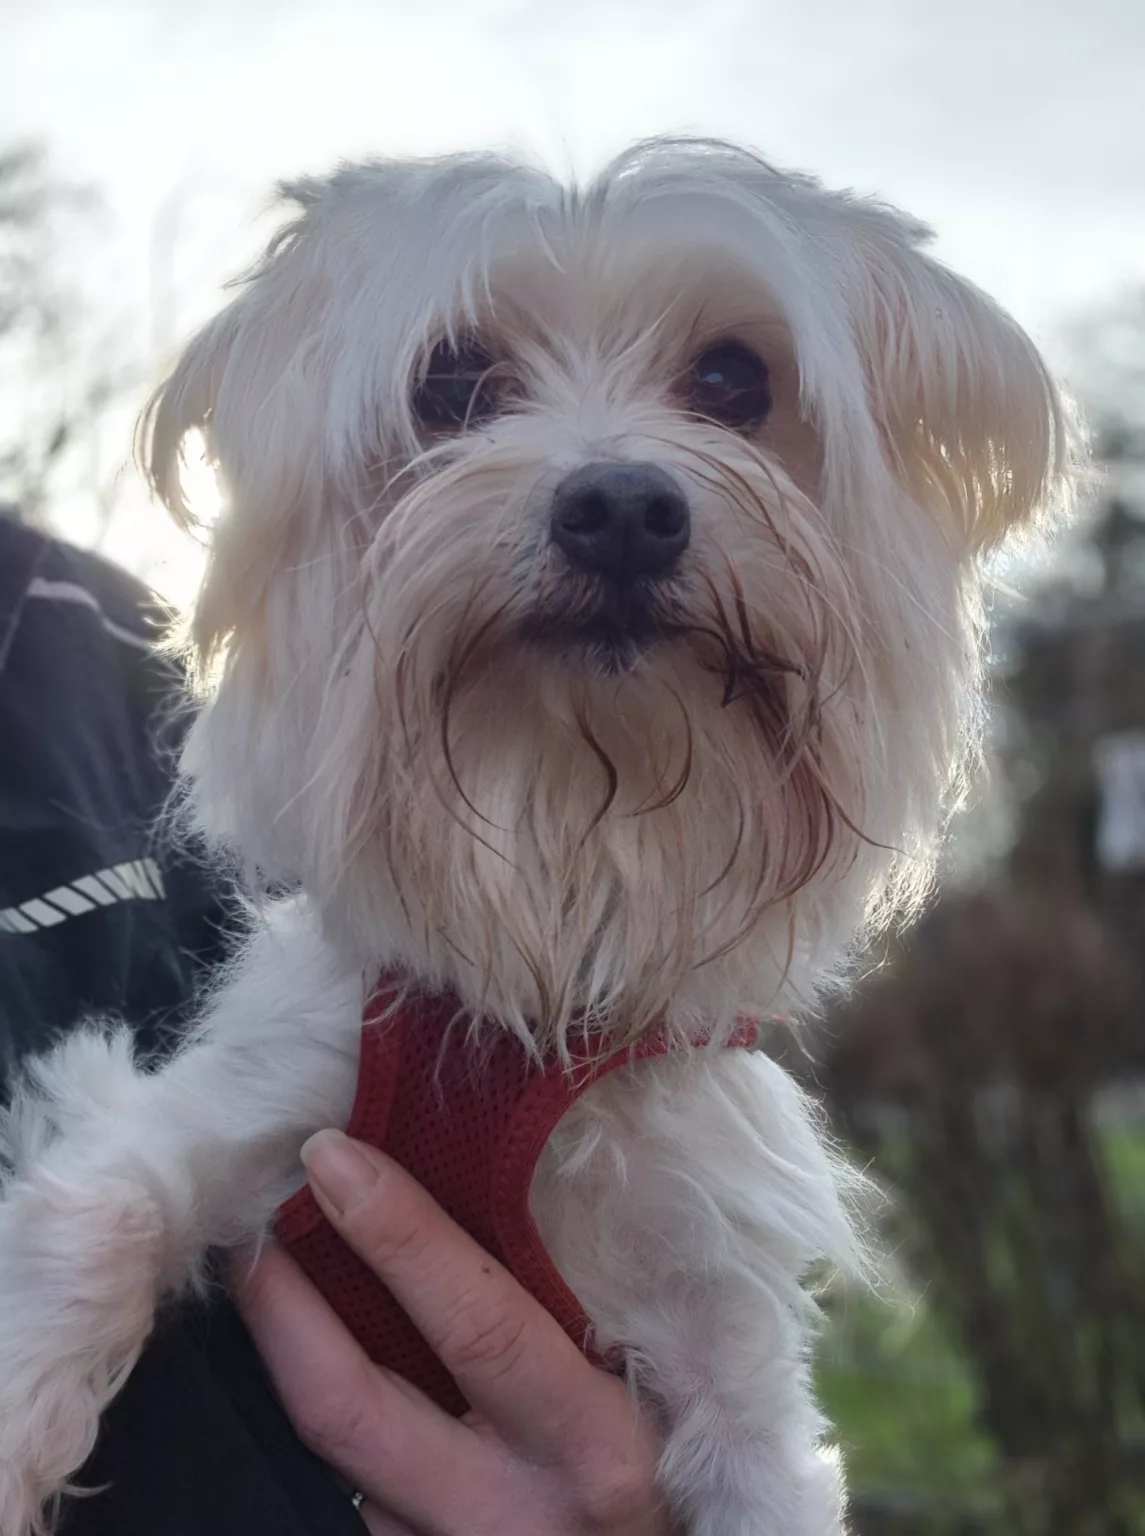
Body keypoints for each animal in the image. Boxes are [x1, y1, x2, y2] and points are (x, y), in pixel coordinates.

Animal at [0, 138, 1067, 1535]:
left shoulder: (718, 1332)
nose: (618, 506)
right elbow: (100, 1219)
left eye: (732, 380)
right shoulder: (216, 1115)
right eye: (452, 383)